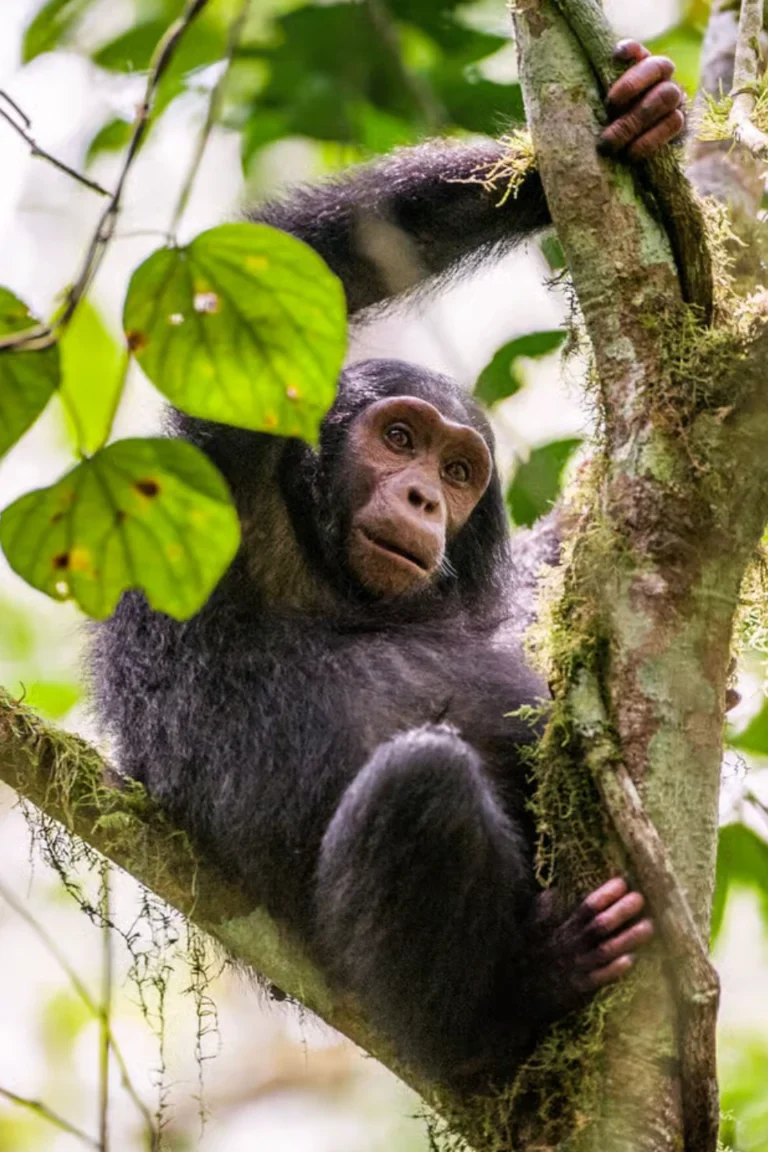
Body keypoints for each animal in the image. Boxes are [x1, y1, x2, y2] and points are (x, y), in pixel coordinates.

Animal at [92, 42, 680, 1084]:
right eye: (398, 438)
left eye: (457, 470)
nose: (420, 499)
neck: (337, 577)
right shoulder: (225, 471)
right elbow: (291, 270)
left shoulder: (503, 590)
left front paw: (642, 109)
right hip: (367, 990)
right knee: (422, 783)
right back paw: (514, 1005)